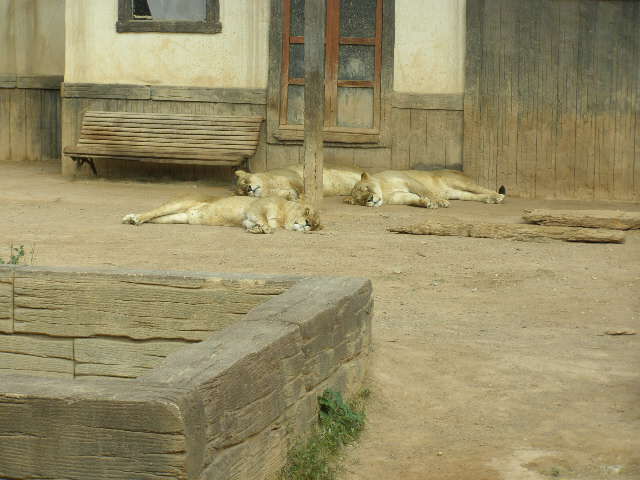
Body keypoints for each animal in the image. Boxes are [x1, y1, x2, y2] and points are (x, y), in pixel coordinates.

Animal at [234, 164, 365, 200]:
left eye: (245, 181)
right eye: (242, 193)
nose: (248, 189)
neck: (268, 188)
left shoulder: (295, 177)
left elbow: (302, 188)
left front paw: (304, 197)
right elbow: (290, 195)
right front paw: (294, 198)